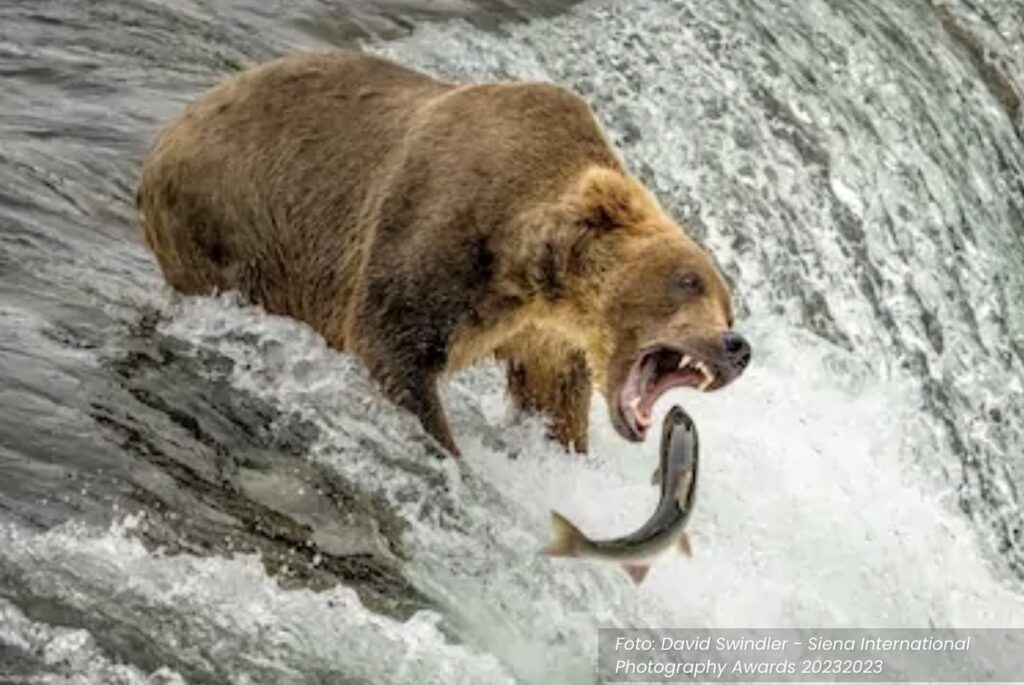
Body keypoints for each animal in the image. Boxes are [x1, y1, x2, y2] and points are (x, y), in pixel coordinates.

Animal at [138, 50, 753, 456]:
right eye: (688, 281)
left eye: (729, 306)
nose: (736, 346)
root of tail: (169, 132)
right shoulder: (438, 233)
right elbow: (393, 346)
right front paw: (446, 448)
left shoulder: (539, 331)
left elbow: (553, 394)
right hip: (237, 222)